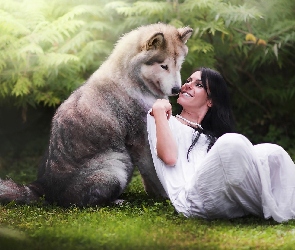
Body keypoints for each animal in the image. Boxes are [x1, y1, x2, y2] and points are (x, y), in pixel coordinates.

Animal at [0, 23, 193, 207]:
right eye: (164, 66)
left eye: (178, 65)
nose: (177, 90)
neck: (134, 81)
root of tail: (44, 188)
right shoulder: (141, 141)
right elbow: (153, 171)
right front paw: (165, 196)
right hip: (116, 165)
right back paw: (116, 201)